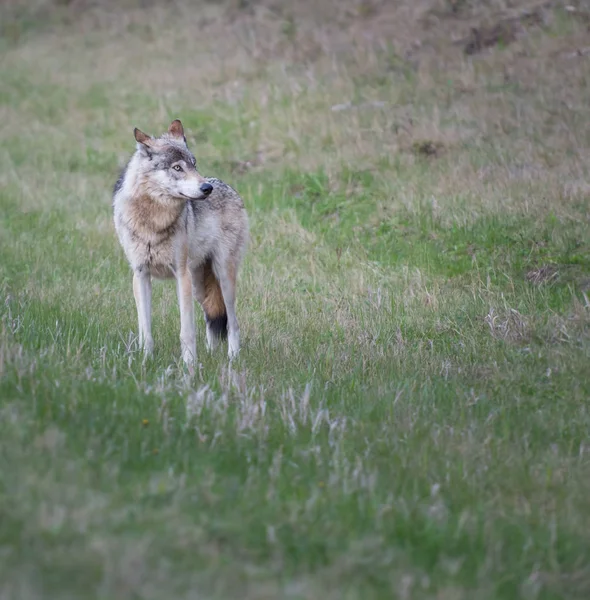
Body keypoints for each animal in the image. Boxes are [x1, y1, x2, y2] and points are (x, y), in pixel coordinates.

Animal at [113, 119, 250, 364]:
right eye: (177, 168)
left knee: (233, 323)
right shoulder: (140, 275)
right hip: (200, 286)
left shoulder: (181, 275)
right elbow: (145, 329)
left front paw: (189, 366)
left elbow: (186, 331)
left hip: (223, 276)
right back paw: (211, 355)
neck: (153, 219)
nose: (206, 188)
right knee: (211, 318)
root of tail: (227, 186)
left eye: (194, 165)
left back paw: (232, 360)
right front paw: (146, 362)